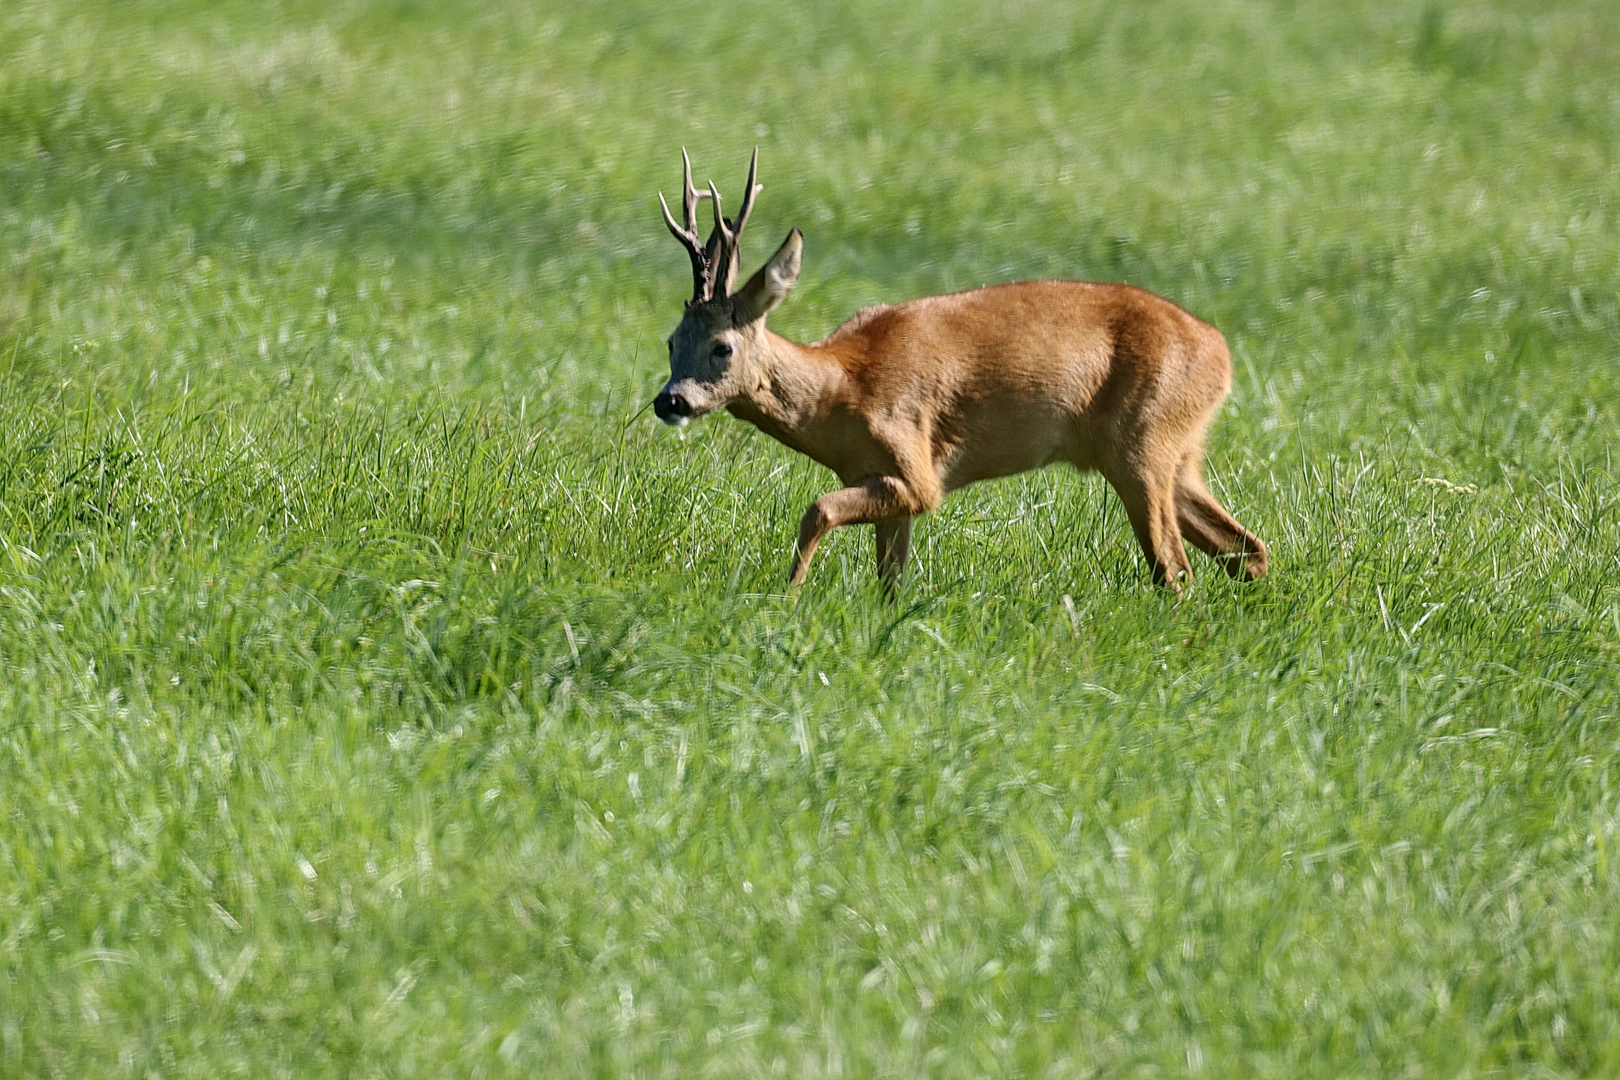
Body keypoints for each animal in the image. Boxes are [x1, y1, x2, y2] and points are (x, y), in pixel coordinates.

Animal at [648, 148, 1263, 595]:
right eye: (672, 341)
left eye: (722, 347)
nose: (670, 401)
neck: (842, 389)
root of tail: (1220, 351)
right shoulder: (880, 481)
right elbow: (889, 580)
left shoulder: (917, 470)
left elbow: (817, 510)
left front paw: (788, 595)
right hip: (1177, 452)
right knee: (1246, 549)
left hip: (1142, 442)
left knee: (1175, 569)